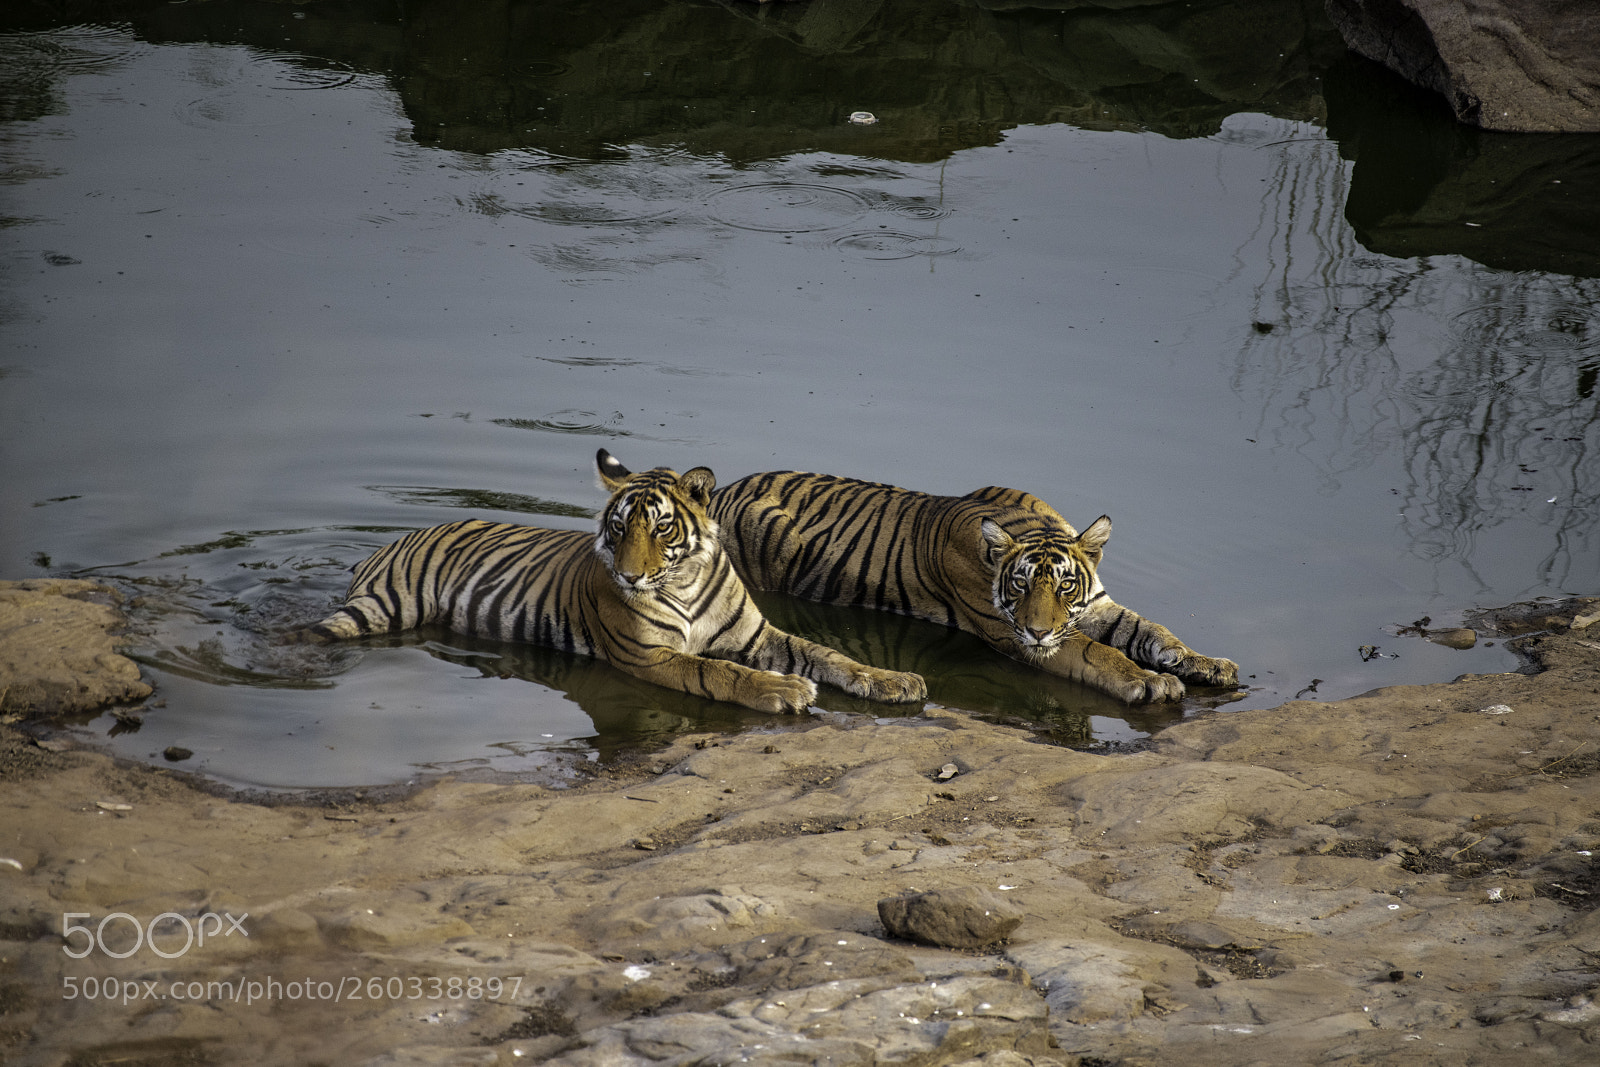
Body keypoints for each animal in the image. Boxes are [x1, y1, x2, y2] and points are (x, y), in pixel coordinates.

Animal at [289, 450, 927, 714]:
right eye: (618, 528)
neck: (684, 580)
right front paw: (783, 690)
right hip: (383, 606)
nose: (628, 573)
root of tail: (389, 543)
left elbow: (828, 653)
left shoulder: (755, 635)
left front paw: (894, 681)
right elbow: (717, 671)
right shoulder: (650, 655)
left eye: (661, 527)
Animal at [707, 471, 1239, 705]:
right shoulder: (1016, 637)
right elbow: (1098, 652)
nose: (1040, 631)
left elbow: (1150, 630)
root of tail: (722, 490)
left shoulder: (1095, 606)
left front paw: (1205, 663)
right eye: (1020, 585)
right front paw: (1148, 681)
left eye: (1067, 586)